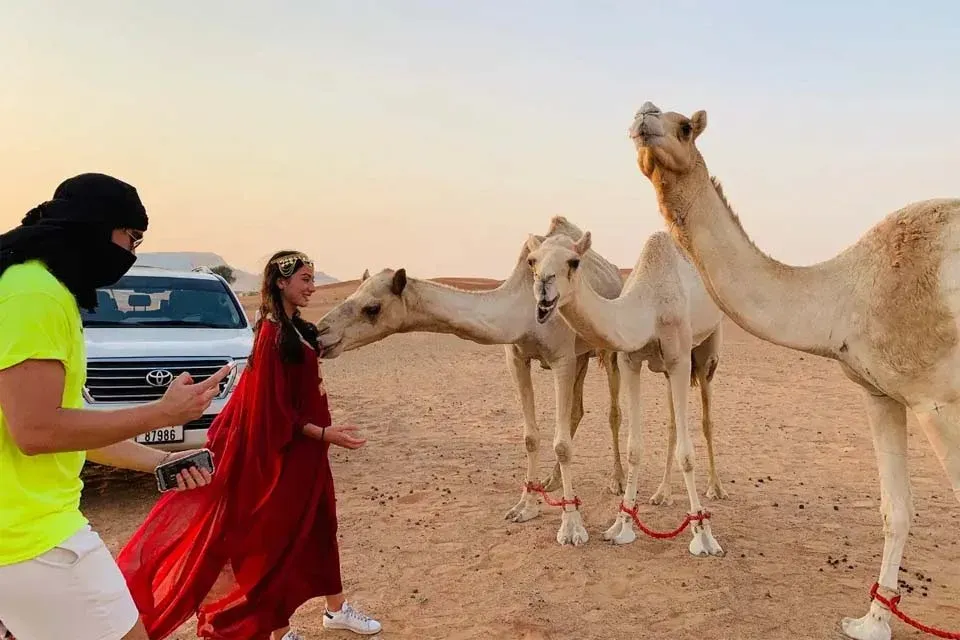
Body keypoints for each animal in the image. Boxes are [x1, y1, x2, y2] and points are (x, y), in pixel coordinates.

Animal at [314, 217, 627, 546]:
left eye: (372, 308)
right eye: (349, 297)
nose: (319, 333)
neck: (523, 311)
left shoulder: (562, 358)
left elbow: (562, 444)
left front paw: (571, 526)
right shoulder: (516, 357)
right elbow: (531, 437)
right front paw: (524, 506)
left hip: (606, 348)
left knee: (613, 412)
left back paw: (616, 480)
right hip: (582, 356)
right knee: (577, 411)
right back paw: (551, 480)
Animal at [525, 227, 726, 556]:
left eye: (574, 261)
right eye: (532, 261)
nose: (544, 290)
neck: (648, 308)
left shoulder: (679, 357)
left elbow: (687, 453)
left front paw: (703, 534)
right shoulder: (630, 360)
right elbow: (635, 449)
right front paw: (622, 525)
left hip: (705, 354)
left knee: (707, 420)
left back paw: (715, 488)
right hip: (666, 370)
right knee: (673, 423)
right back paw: (662, 493)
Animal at [628, 101, 960, 640]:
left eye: (685, 127)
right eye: (640, 118)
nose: (646, 114)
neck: (847, 292)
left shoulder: (937, 401)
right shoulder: (880, 393)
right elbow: (895, 509)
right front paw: (871, 620)